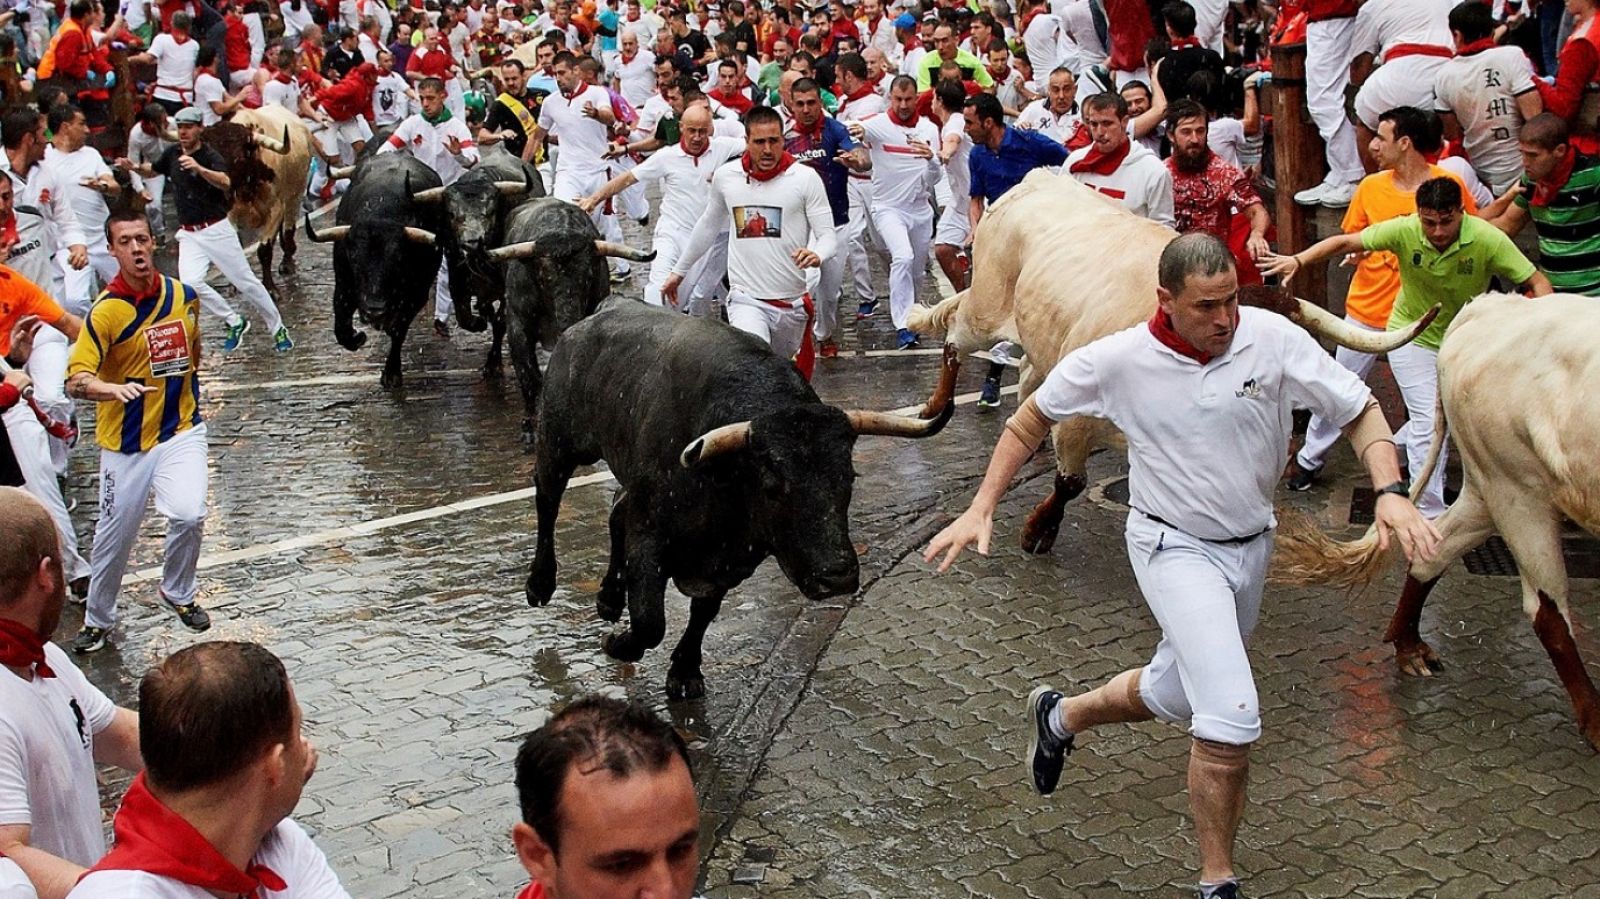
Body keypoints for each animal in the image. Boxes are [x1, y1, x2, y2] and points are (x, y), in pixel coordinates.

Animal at [302, 156, 444, 385]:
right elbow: (341, 329)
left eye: (398, 259)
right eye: (354, 259)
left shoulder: (417, 294)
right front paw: (358, 337)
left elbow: (398, 330)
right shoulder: (343, 286)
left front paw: (392, 372)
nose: (374, 310)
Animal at [528, 297, 960, 697]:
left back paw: (608, 598)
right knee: (547, 501)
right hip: (558, 443)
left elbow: (703, 613)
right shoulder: (649, 536)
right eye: (771, 482)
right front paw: (619, 643)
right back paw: (540, 584)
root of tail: (596, 314)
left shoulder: (731, 562)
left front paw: (685, 672)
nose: (836, 576)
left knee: (615, 510)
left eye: (848, 477)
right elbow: (651, 623)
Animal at [915, 169, 1440, 553]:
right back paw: (935, 407)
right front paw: (1036, 531)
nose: (1296, 416)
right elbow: (1070, 482)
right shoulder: (1079, 421)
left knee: (1025, 376)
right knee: (955, 338)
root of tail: (1039, 179)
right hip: (986, 306)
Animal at [1273, 291, 1600, 745]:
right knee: (1547, 610)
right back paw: (1597, 722)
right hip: (1517, 492)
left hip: (1490, 491)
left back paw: (1410, 648)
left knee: (1435, 550)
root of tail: (1492, 306)